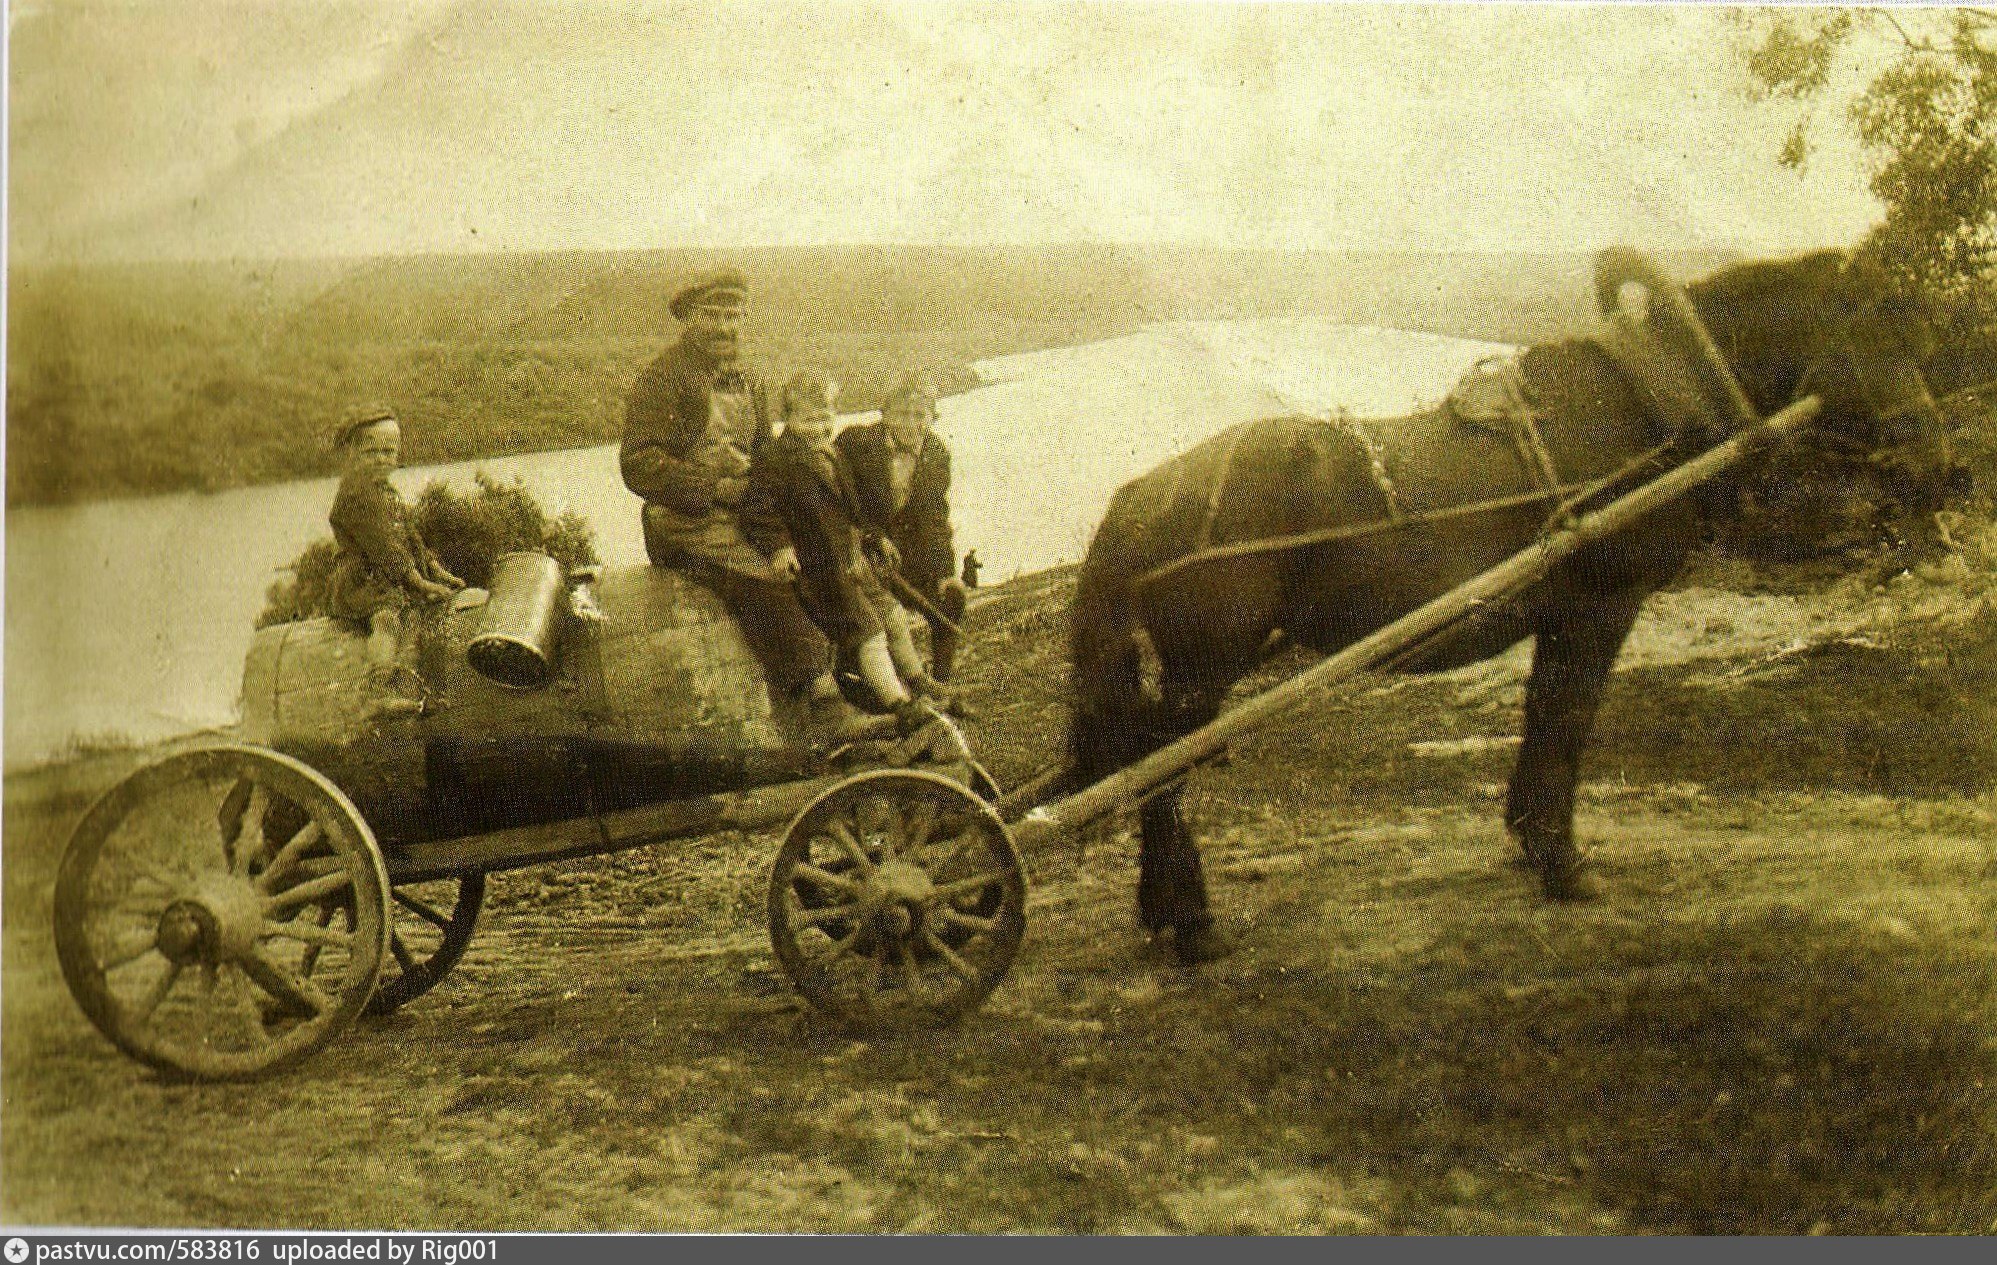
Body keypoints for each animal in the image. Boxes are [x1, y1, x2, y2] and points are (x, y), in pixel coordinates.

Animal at [1070, 243, 1957, 955]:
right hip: (1204, 667)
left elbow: (1542, 713)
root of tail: (1140, 495)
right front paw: (1562, 864)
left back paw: (1162, 909)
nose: (1945, 468)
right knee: (1157, 769)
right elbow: (1567, 715)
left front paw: (1531, 841)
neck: (1645, 406)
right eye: (1868, 333)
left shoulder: (1560, 613)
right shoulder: (1600, 605)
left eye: (1919, 341)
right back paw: (1190, 922)